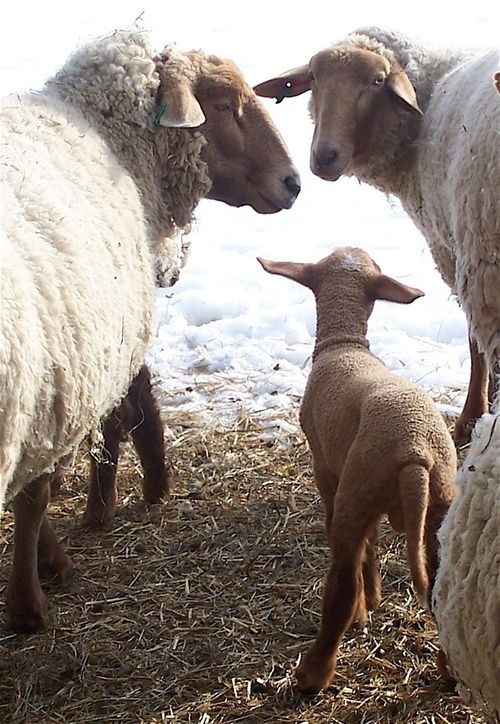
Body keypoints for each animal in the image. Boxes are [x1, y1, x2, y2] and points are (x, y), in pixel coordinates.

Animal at [254, 28, 500, 444]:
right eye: (314, 78)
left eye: (377, 81)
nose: (323, 157)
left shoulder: (457, 251)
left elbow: (474, 342)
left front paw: (472, 417)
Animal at [258, 247, 458, 696]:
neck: (344, 344)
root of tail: (415, 450)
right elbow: (374, 542)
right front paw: (377, 595)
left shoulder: (328, 470)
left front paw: (367, 608)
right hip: (434, 503)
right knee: (440, 583)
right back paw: (449, 669)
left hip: (356, 491)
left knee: (342, 583)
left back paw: (313, 673)